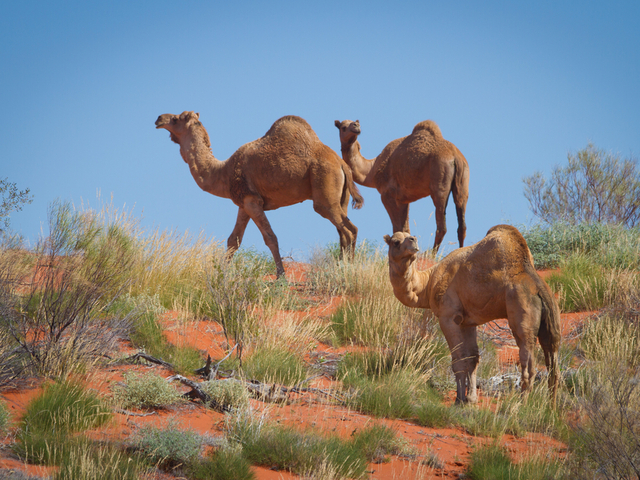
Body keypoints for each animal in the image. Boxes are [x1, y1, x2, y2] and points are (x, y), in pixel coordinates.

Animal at [157, 111, 362, 278]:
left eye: (175, 119)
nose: (159, 119)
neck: (223, 172)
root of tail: (341, 164)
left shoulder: (252, 201)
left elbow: (270, 238)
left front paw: (281, 277)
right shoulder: (243, 204)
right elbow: (233, 240)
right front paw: (221, 275)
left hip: (324, 191)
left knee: (348, 230)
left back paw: (349, 270)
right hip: (340, 198)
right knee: (345, 231)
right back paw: (341, 268)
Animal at [336, 119, 470, 251]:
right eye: (343, 127)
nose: (356, 126)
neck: (371, 170)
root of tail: (455, 157)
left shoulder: (387, 195)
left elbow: (397, 228)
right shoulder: (404, 200)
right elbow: (405, 229)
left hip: (439, 184)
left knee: (441, 226)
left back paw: (432, 254)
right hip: (463, 184)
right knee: (462, 225)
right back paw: (460, 250)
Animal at [384, 225, 560, 404]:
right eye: (396, 242)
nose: (413, 240)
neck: (429, 282)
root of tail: (538, 286)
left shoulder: (448, 317)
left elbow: (458, 360)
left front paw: (459, 400)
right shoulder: (467, 322)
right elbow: (473, 358)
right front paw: (471, 399)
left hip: (522, 311)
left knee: (528, 363)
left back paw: (521, 405)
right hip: (552, 317)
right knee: (553, 363)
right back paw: (550, 407)